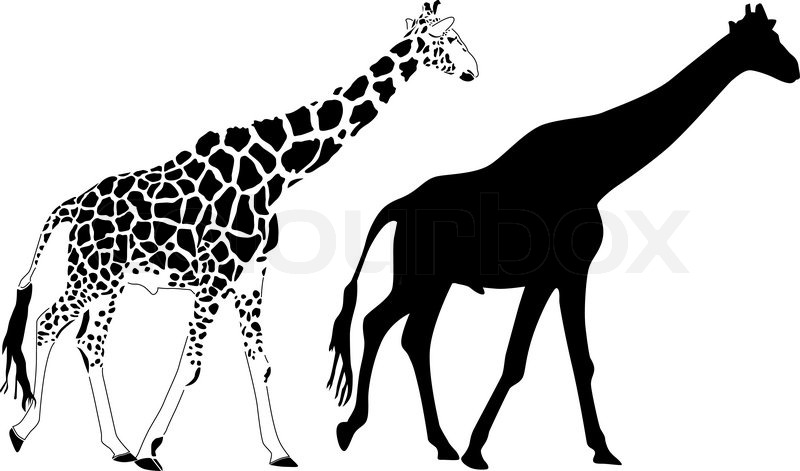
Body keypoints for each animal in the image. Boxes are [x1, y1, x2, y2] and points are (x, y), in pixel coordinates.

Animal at [1, 2, 478, 470]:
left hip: (110, 282)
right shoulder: (214, 277)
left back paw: (115, 444)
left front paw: (280, 450)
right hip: (92, 275)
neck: (276, 172)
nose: (474, 70)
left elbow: (260, 362)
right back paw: (24, 430)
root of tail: (72, 206)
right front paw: (151, 449)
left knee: (89, 342)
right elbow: (190, 364)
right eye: (451, 38)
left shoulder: (250, 277)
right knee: (47, 324)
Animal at [327, 4, 798, 468]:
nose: (793, 70)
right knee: (378, 323)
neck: (595, 173)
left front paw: (601, 449)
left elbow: (578, 361)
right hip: (422, 277)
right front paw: (477, 450)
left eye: (776, 35)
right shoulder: (554, 273)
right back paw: (352, 429)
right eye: (766, 41)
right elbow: (516, 360)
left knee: (411, 337)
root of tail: (398, 206)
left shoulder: (566, 274)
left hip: (435, 281)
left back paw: (439, 443)